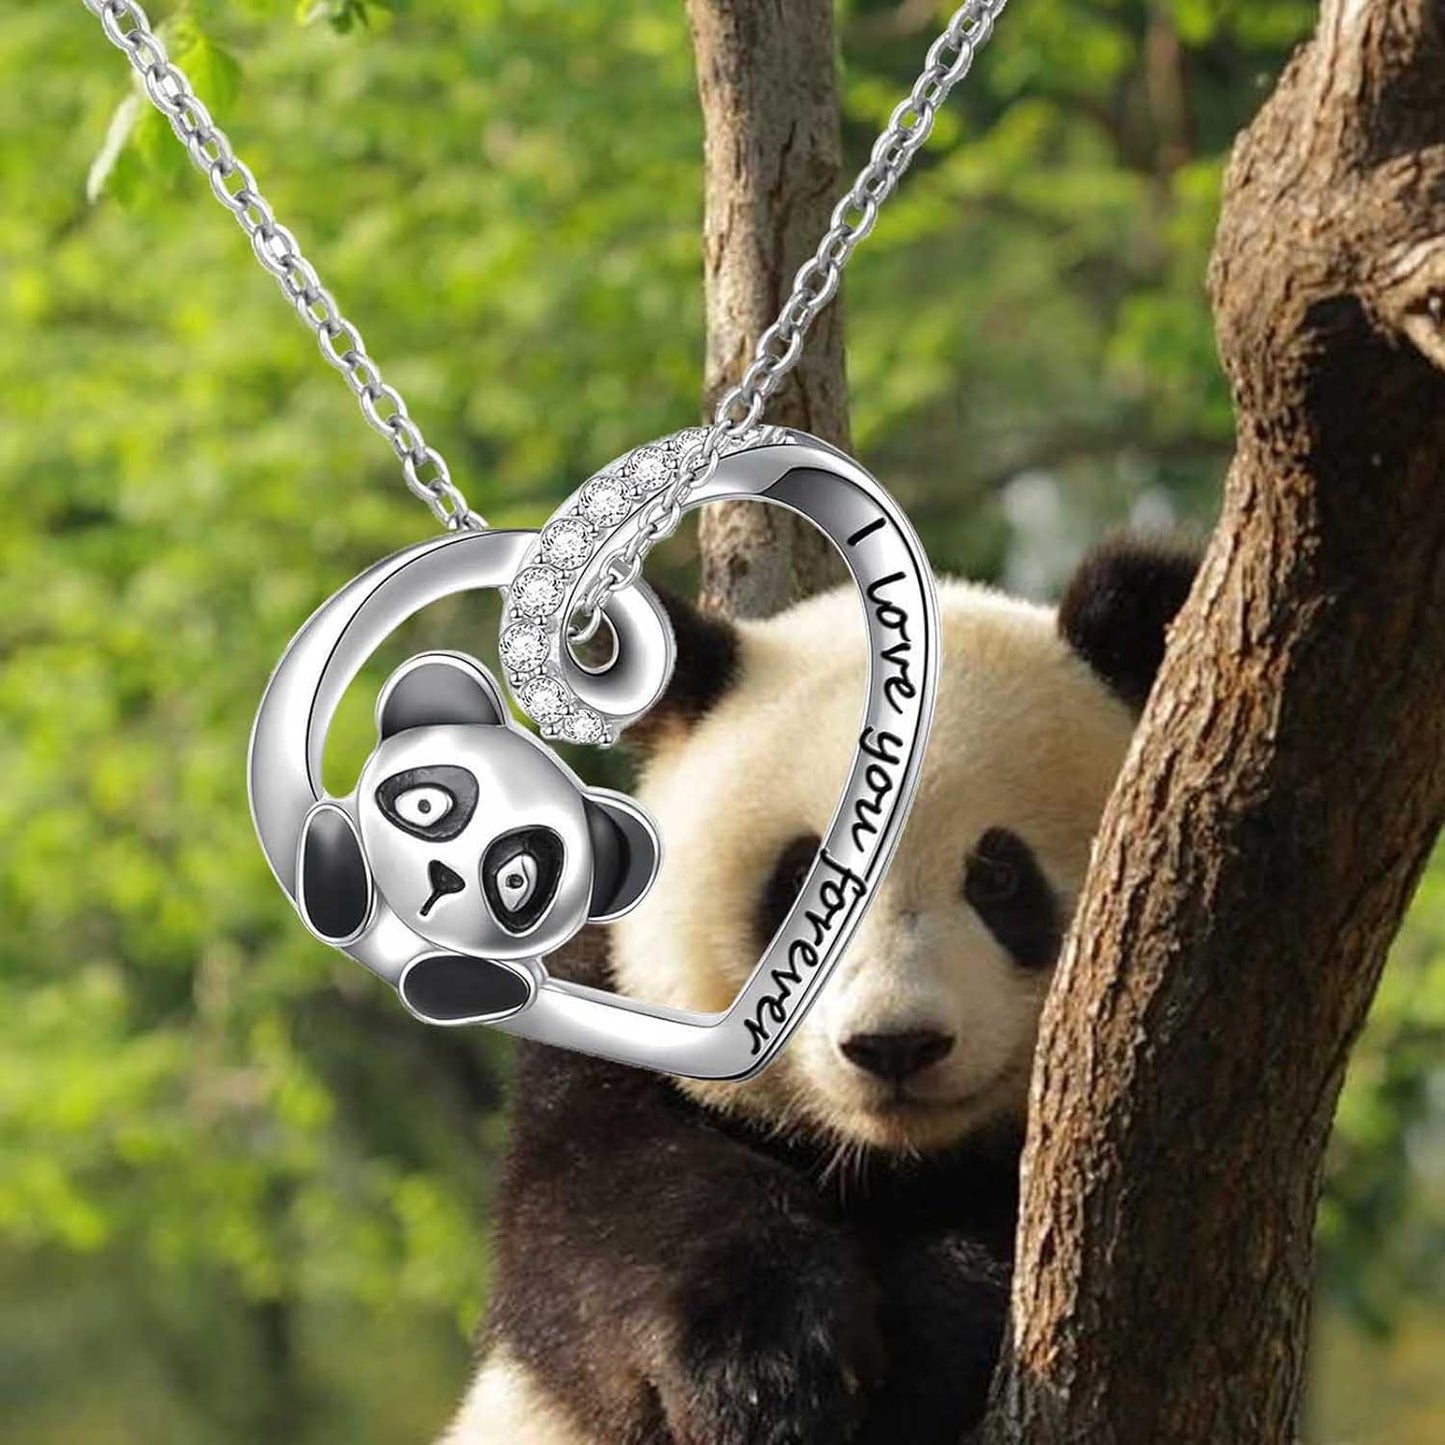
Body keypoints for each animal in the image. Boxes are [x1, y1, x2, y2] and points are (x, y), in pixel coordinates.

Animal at [439, 535, 1198, 1445]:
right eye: (804, 876)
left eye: (998, 875)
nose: (895, 1045)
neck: (884, 1160)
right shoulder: (603, 1028)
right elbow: (600, 1212)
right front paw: (765, 1370)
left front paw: (916, 1350)